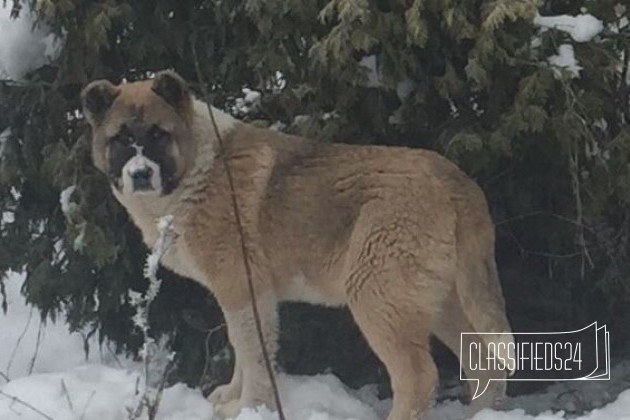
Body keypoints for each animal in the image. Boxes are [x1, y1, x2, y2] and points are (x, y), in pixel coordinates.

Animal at [81, 70, 516, 418]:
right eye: (121, 139)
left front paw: (248, 407)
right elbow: (241, 347)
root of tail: (458, 183)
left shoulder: (242, 288)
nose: (140, 174)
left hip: (379, 295)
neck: (196, 168)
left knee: (419, 377)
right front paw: (232, 396)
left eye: (158, 135)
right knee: (484, 362)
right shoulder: (243, 293)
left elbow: (252, 351)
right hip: (443, 301)